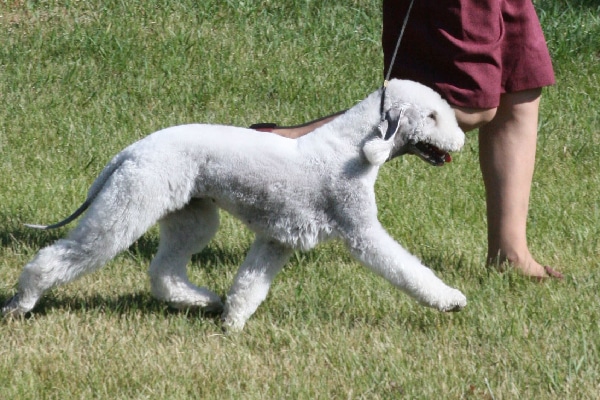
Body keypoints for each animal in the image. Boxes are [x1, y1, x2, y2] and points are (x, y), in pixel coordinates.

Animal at [2, 79, 466, 332]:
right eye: (432, 117)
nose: (461, 141)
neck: (351, 149)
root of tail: (133, 149)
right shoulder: (360, 228)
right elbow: (407, 269)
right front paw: (450, 300)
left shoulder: (278, 237)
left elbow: (250, 284)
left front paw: (232, 323)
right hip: (129, 206)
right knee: (63, 256)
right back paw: (22, 303)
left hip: (193, 217)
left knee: (164, 271)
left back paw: (204, 302)